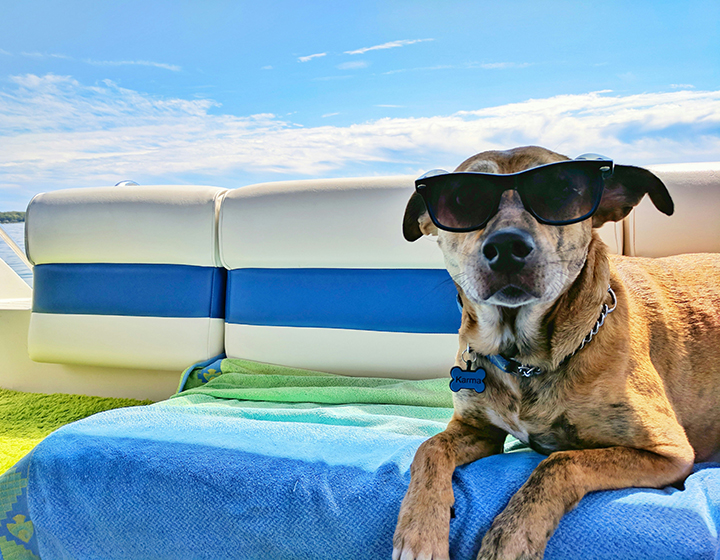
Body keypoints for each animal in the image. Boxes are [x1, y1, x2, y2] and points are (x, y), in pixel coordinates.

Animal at [390, 147, 720, 556]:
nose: (506, 248)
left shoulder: (669, 451)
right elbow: (429, 448)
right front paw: (418, 532)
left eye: (561, 189)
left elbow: (560, 462)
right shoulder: (477, 430)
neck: (523, 359)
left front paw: (511, 536)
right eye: (463, 198)